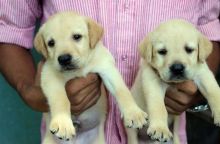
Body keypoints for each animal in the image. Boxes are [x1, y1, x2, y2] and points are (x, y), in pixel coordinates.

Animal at [34, 11, 148, 144]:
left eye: (77, 36)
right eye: (51, 43)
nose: (64, 59)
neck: (78, 69)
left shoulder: (106, 67)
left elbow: (122, 91)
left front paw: (134, 113)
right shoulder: (50, 75)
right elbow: (60, 99)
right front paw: (63, 123)